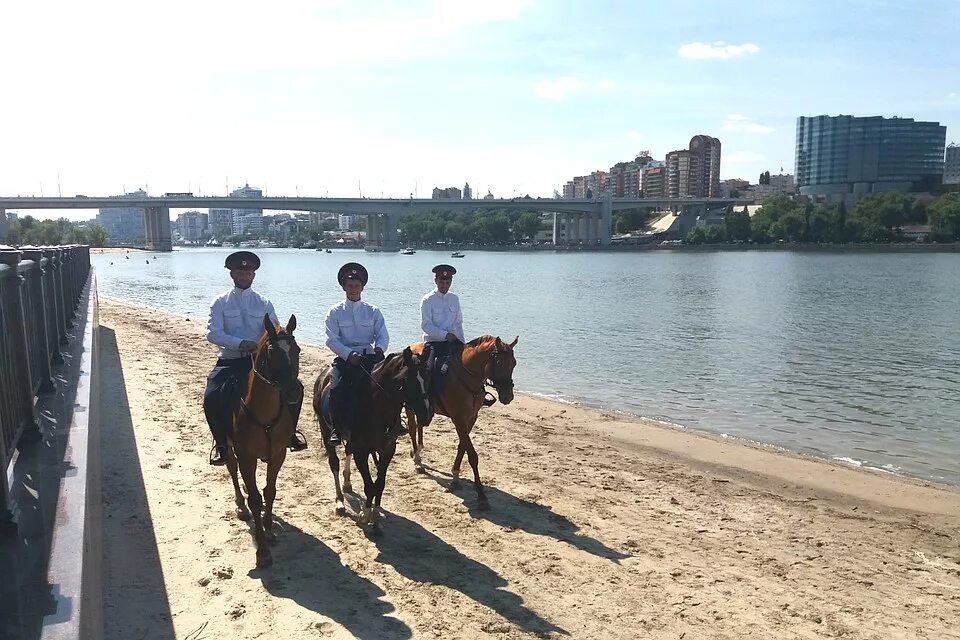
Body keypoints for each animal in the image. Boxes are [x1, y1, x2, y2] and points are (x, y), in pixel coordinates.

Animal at [225, 312, 300, 568]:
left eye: (297, 350)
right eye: (272, 352)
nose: (293, 391)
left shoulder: (278, 454)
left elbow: (269, 492)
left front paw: (268, 529)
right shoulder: (247, 457)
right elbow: (256, 499)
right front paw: (263, 551)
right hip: (229, 447)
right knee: (231, 467)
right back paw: (240, 504)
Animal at [314, 348, 434, 532]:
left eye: (427, 376)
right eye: (408, 380)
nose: (426, 415)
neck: (377, 407)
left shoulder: (387, 450)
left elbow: (379, 484)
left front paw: (376, 516)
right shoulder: (361, 452)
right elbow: (370, 485)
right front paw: (365, 515)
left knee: (347, 452)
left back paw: (347, 484)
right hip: (326, 430)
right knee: (334, 463)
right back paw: (339, 502)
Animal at [408, 336, 520, 510]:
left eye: (514, 363)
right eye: (500, 363)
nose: (508, 396)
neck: (466, 376)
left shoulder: (471, 417)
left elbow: (462, 445)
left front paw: (455, 476)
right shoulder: (458, 418)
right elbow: (472, 454)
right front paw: (481, 494)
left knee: (420, 426)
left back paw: (419, 450)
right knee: (413, 429)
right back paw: (417, 459)